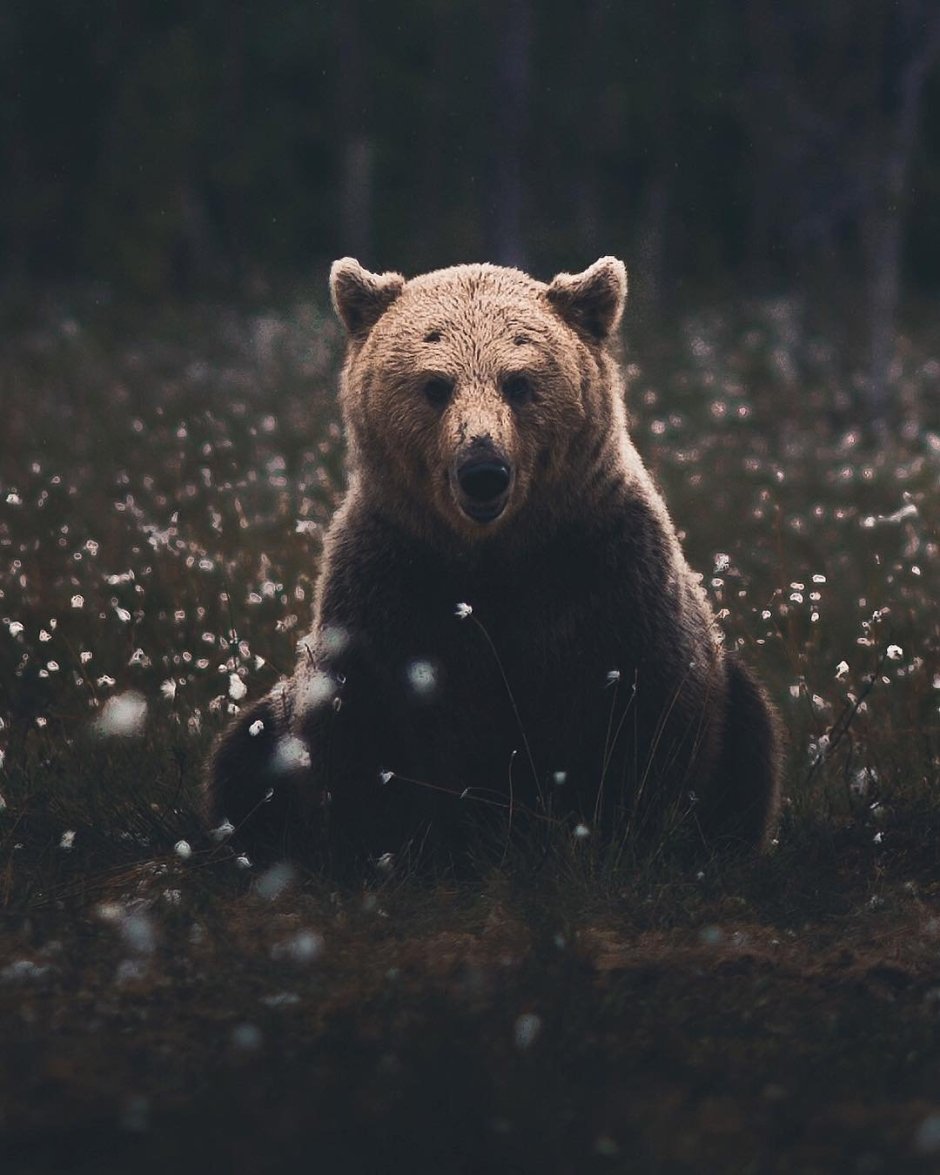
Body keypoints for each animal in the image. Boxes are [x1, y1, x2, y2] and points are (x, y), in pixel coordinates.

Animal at [206, 256, 782, 867]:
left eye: (519, 381)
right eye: (436, 385)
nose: (483, 470)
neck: (494, 553)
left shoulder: (606, 571)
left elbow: (648, 717)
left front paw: (627, 833)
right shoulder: (391, 584)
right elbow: (364, 734)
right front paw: (391, 848)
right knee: (244, 748)